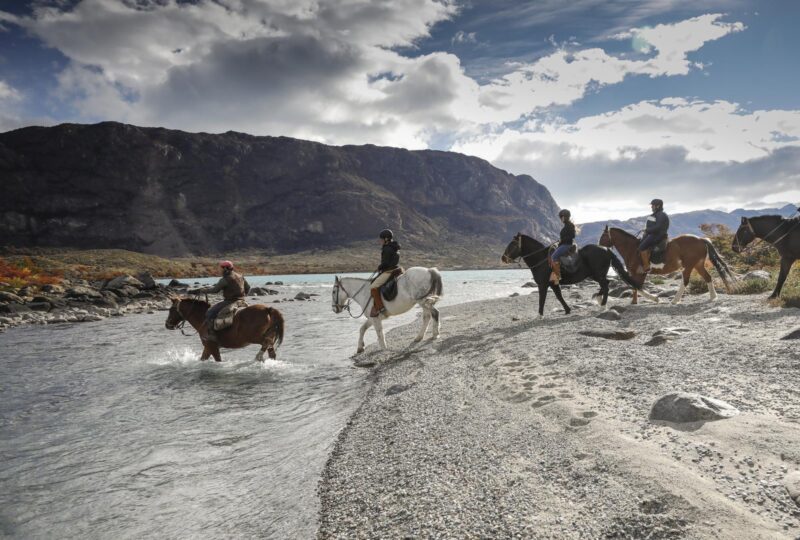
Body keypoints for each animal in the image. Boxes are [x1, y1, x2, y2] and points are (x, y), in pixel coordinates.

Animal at [504, 231, 640, 316]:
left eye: (512, 244)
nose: (503, 258)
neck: (541, 259)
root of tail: (606, 249)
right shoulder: (553, 284)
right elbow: (559, 296)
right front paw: (567, 310)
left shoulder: (543, 284)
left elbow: (542, 299)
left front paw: (539, 315)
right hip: (595, 275)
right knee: (606, 283)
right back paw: (598, 298)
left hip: (598, 274)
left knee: (606, 285)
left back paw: (602, 305)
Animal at [600, 226, 736, 306]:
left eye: (603, 236)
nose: (599, 246)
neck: (632, 249)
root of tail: (701, 239)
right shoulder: (635, 273)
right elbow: (635, 287)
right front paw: (635, 301)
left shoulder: (639, 273)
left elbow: (637, 287)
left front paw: (654, 299)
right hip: (698, 265)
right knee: (708, 277)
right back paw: (713, 297)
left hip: (689, 266)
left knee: (685, 281)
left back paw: (675, 300)